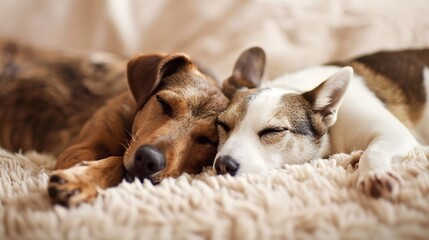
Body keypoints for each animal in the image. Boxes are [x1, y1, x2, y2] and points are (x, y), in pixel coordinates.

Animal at [0, 40, 227, 206]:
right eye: (164, 103)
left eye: (208, 140)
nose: (148, 159)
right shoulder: (80, 148)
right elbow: (117, 161)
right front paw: (82, 180)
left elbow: (118, 162)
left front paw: (83, 180)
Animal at [214, 47, 428, 199]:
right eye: (222, 125)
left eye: (274, 131)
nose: (223, 165)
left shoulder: (395, 132)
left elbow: (374, 151)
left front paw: (374, 175)